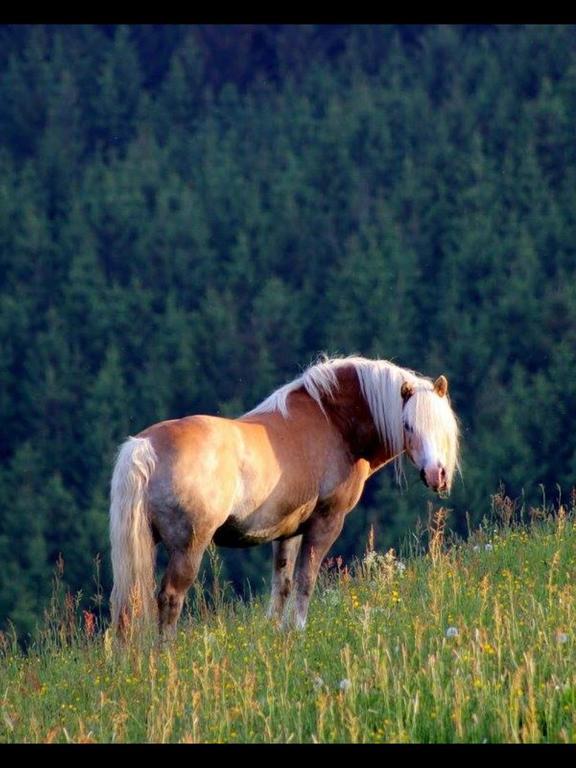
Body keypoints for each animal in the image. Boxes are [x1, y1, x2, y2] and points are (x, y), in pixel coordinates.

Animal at [108, 354, 460, 636]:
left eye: (442, 425)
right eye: (407, 425)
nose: (437, 475)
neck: (332, 422)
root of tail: (146, 446)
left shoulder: (288, 531)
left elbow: (283, 585)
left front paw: (277, 633)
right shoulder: (325, 523)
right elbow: (306, 580)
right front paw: (299, 631)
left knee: (127, 603)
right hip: (188, 546)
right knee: (169, 598)